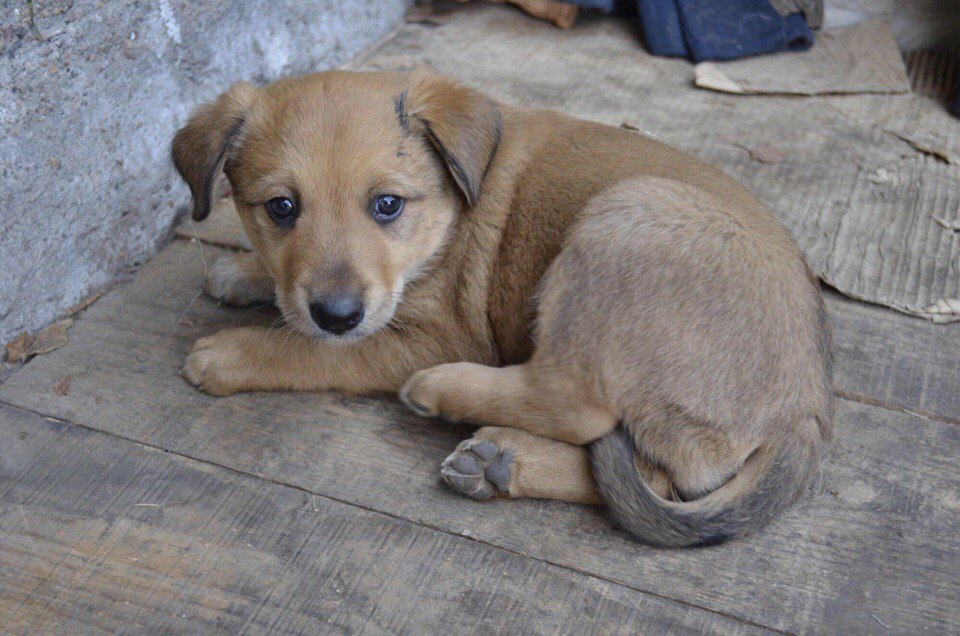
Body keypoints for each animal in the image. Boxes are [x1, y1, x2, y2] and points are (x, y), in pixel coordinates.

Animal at [172, 69, 832, 548]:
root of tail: (805, 414)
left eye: (387, 205)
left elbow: (317, 352)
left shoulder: (432, 337)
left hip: (622, 220)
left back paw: (452, 398)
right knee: (652, 475)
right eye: (281, 208)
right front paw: (243, 271)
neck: (447, 218)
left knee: (579, 407)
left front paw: (232, 353)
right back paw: (501, 463)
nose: (337, 313)